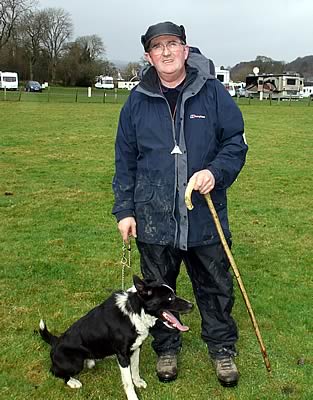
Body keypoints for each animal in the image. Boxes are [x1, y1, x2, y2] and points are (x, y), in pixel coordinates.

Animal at [37, 276, 191, 400]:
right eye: (170, 298)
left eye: (174, 294)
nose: (191, 305)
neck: (134, 312)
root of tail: (55, 342)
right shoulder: (122, 355)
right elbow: (128, 382)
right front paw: (133, 397)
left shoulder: (136, 348)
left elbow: (135, 369)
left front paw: (138, 382)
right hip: (75, 363)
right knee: (55, 371)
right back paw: (73, 382)